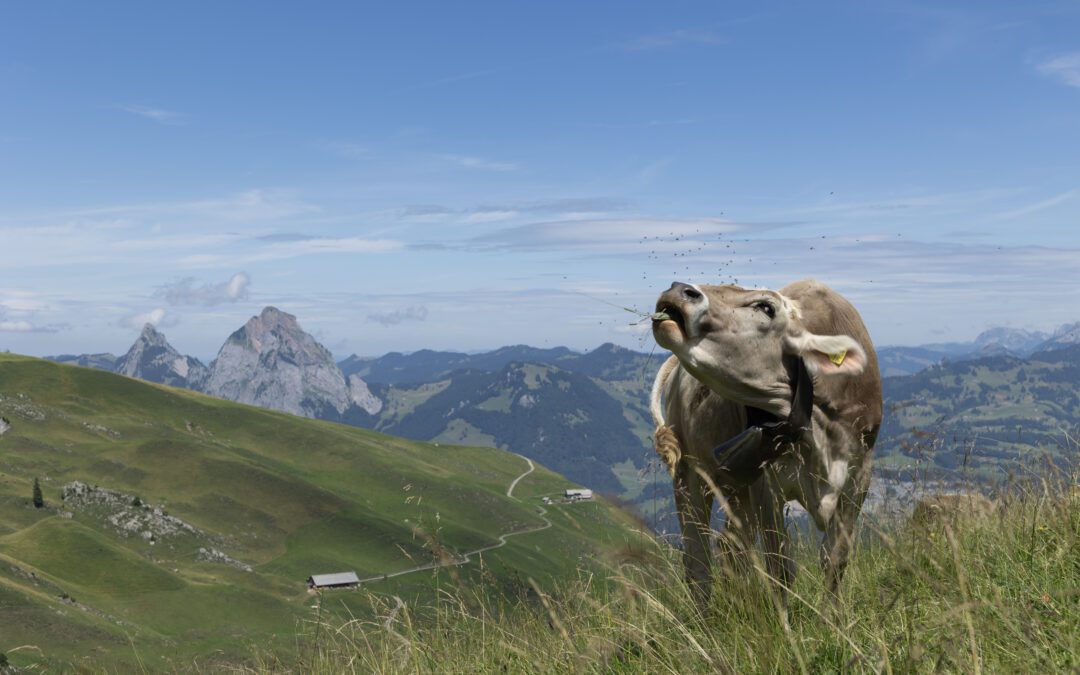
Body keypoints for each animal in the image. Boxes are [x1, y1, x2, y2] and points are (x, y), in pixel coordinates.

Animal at [648, 276, 876, 604]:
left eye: (766, 307)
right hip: (689, 473)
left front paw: (833, 617)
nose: (678, 289)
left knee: (731, 548)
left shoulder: (859, 479)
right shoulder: (767, 483)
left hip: (738, 487)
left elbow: (835, 562)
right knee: (697, 561)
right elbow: (779, 568)